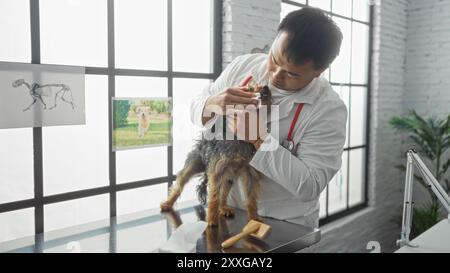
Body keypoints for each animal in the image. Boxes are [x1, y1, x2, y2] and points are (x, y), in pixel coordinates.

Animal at [160, 82, 268, 225]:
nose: (266, 88)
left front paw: (254, 218)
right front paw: (211, 219)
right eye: (251, 89)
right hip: (196, 163)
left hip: (228, 176)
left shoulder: (250, 172)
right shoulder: (217, 170)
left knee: (224, 192)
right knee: (180, 182)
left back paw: (223, 208)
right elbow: (214, 197)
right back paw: (168, 203)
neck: (239, 140)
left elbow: (251, 197)